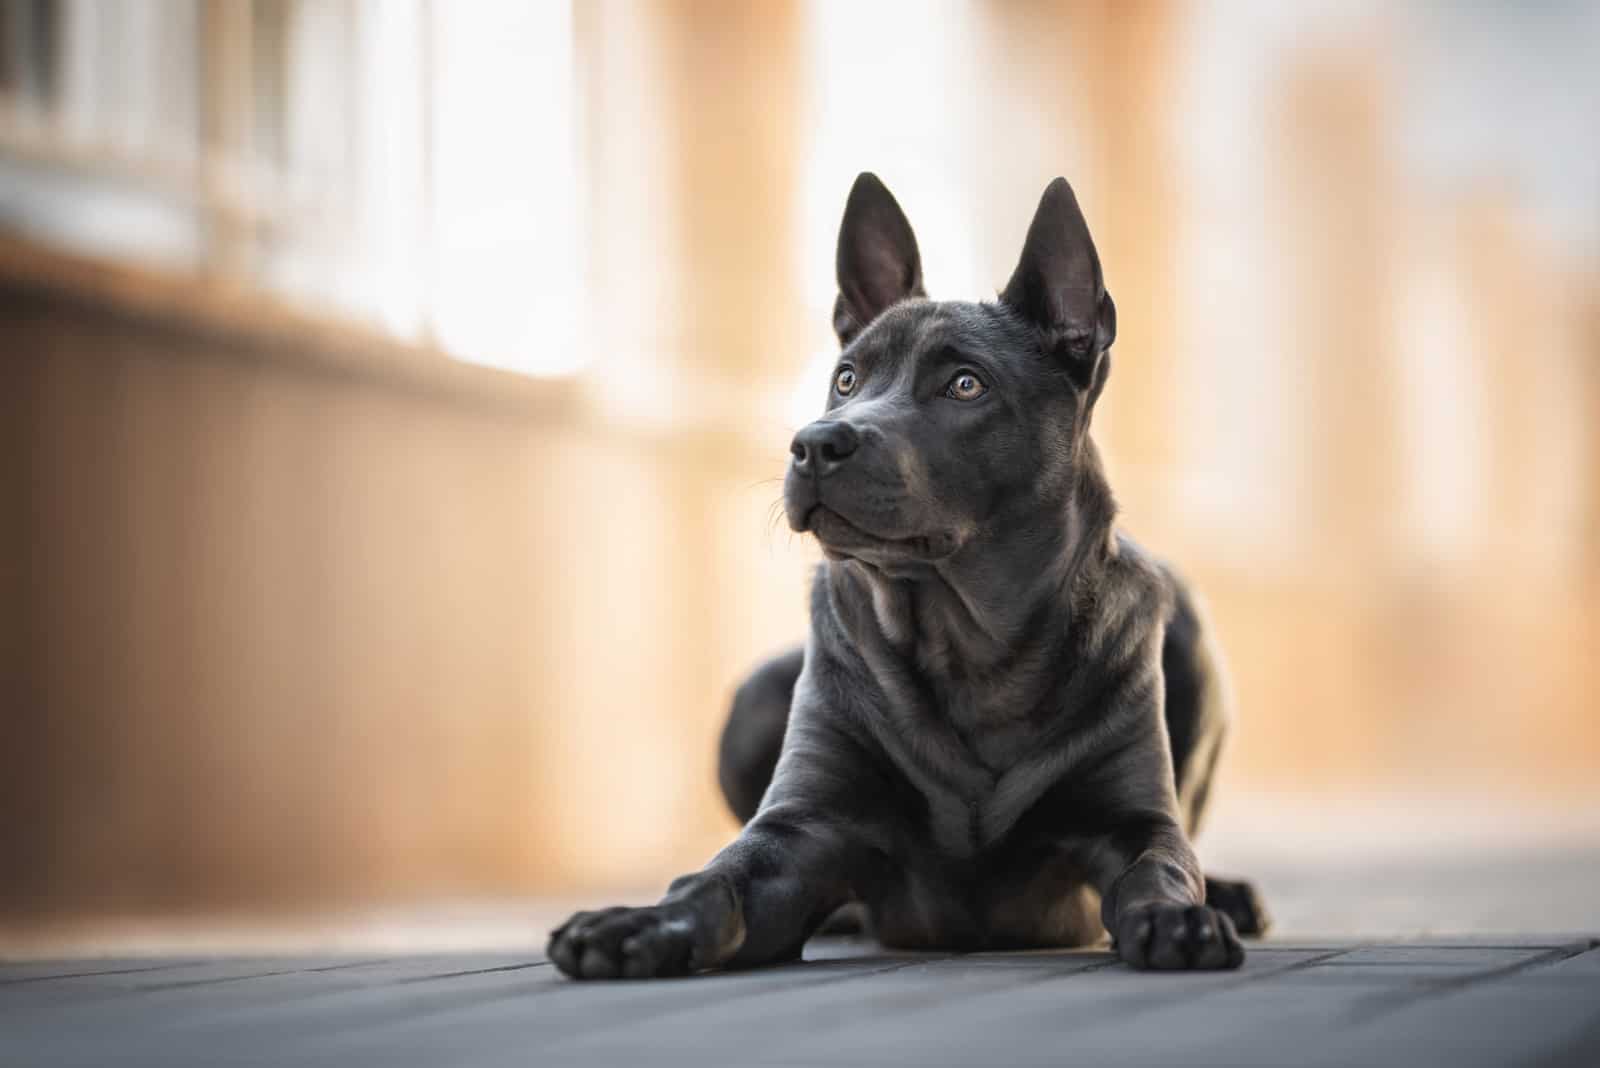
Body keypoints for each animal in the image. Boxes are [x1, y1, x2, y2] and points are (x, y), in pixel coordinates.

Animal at [556, 173, 1267, 978]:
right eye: (846, 378)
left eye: (965, 385)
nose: (814, 445)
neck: (967, 644)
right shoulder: (800, 829)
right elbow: (713, 882)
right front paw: (637, 922)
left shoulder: (1133, 821)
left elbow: (1163, 866)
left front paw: (1182, 917)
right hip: (757, 695)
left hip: (1192, 642)